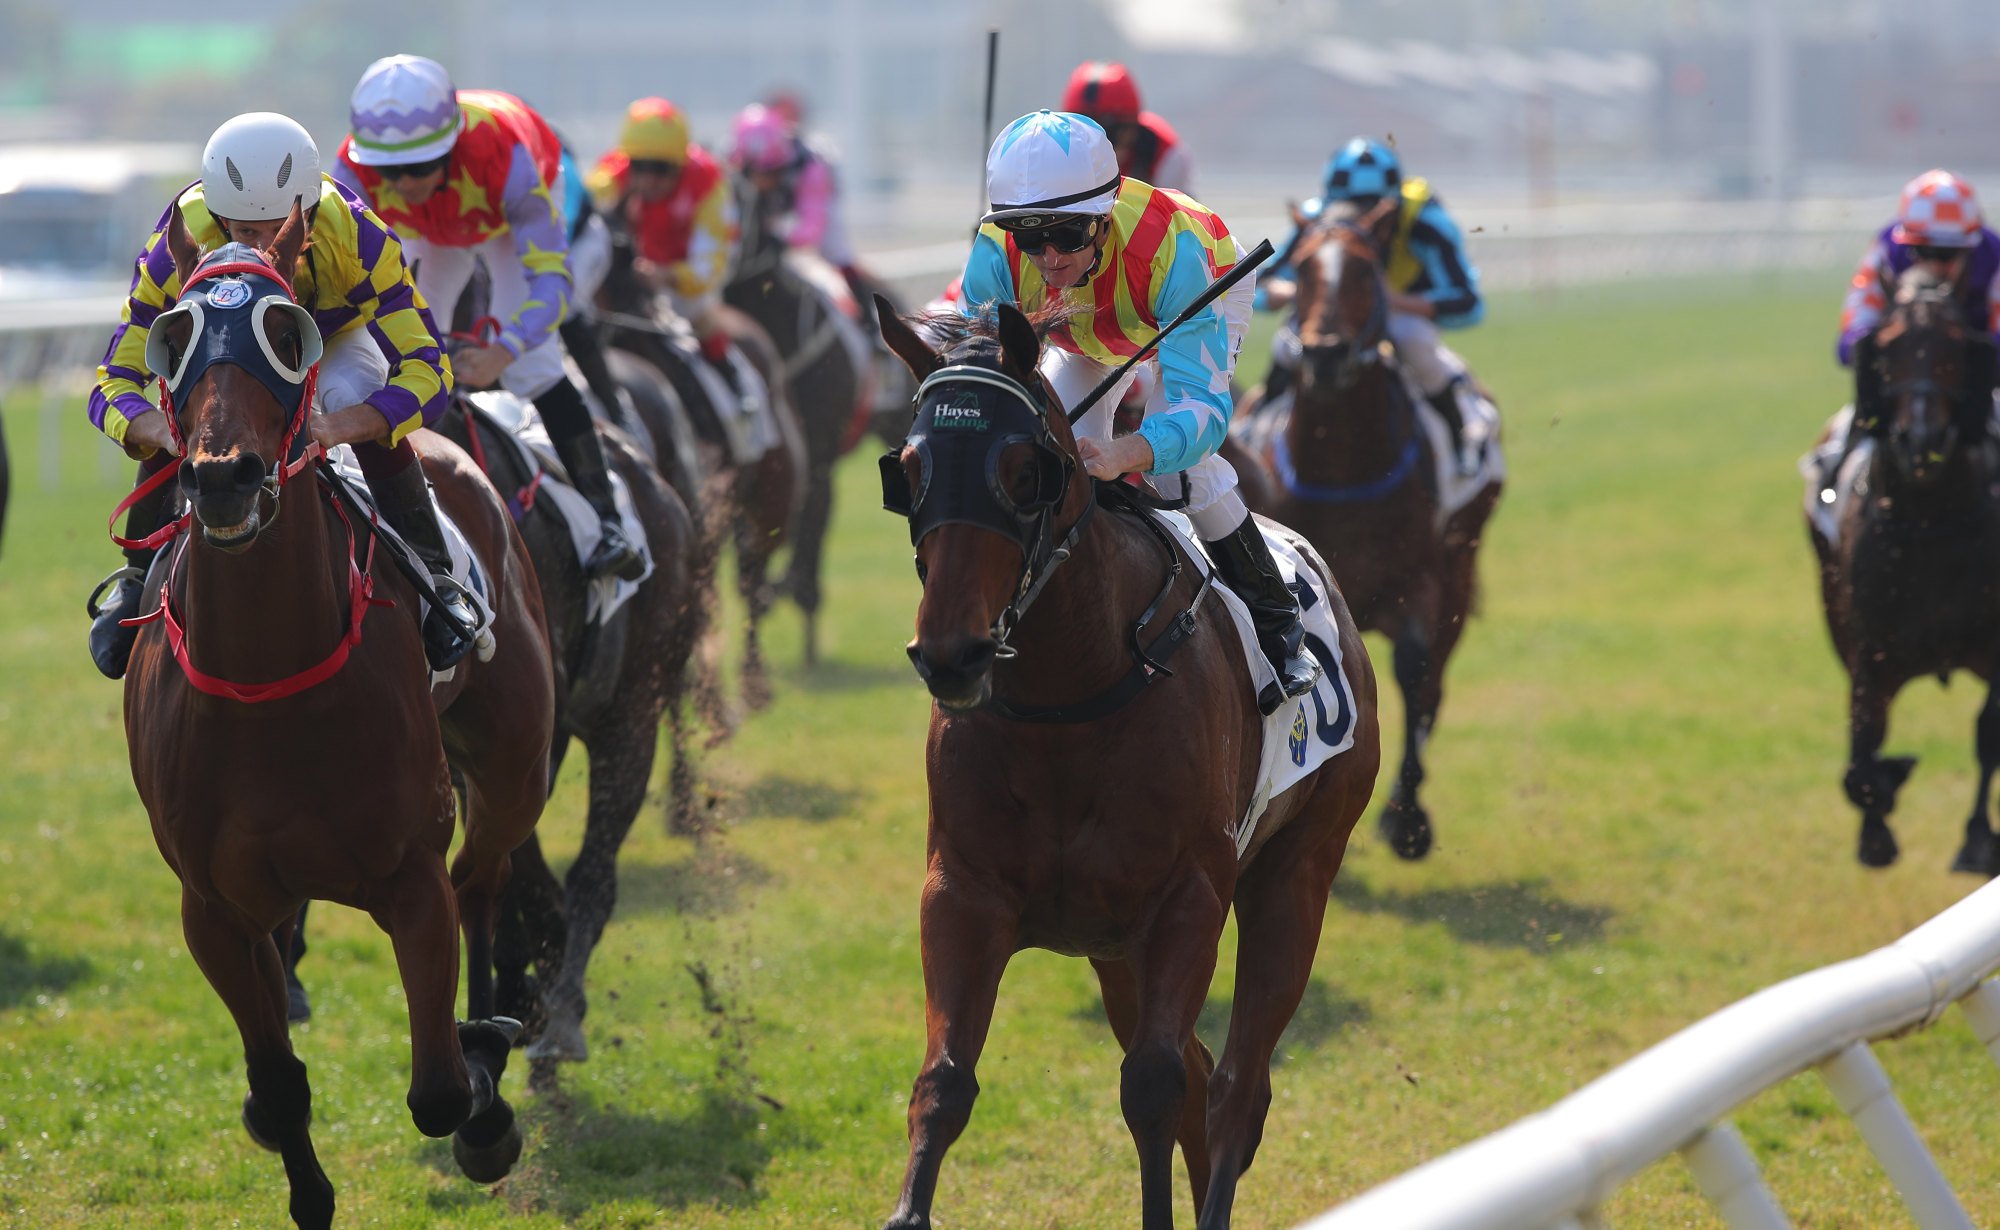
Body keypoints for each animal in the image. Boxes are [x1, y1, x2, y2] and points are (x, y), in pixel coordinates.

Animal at [125, 207, 556, 1224]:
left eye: (287, 335)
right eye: (175, 336)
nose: (225, 477)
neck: (266, 674)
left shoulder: (410, 878)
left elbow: (439, 1091)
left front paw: (485, 1099)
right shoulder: (213, 909)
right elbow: (281, 1086)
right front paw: (290, 1151)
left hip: (515, 764)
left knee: (482, 881)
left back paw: (493, 1035)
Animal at [876, 304, 1376, 1230]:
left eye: (1025, 471)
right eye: (911, 470)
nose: (952, 655)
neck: (1069, 697)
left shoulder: (1188, 899)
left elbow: (1153, 1085)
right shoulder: (962, 894)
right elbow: (945, 1083)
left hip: (1297, 874)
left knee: (1236, 1087)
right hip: (1113, 949)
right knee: (1204, 1074)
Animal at [1248, 212, 1504, 860]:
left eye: (1366, 269)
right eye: (1301, 268)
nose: (1325, 353)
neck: (1343, 464)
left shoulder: (1420, 582)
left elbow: (1414, 672)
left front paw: (1407, 819)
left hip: (1460, 568)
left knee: (1433, 685)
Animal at [1808, 264, 2000, 872]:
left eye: (1957, 344)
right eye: (1887, 346)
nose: (1922, 440)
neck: (1928, 520)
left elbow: (1988, 735)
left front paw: (1977, 839)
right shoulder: (1869, 653)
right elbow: (1862, 756)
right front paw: (1877, 827)